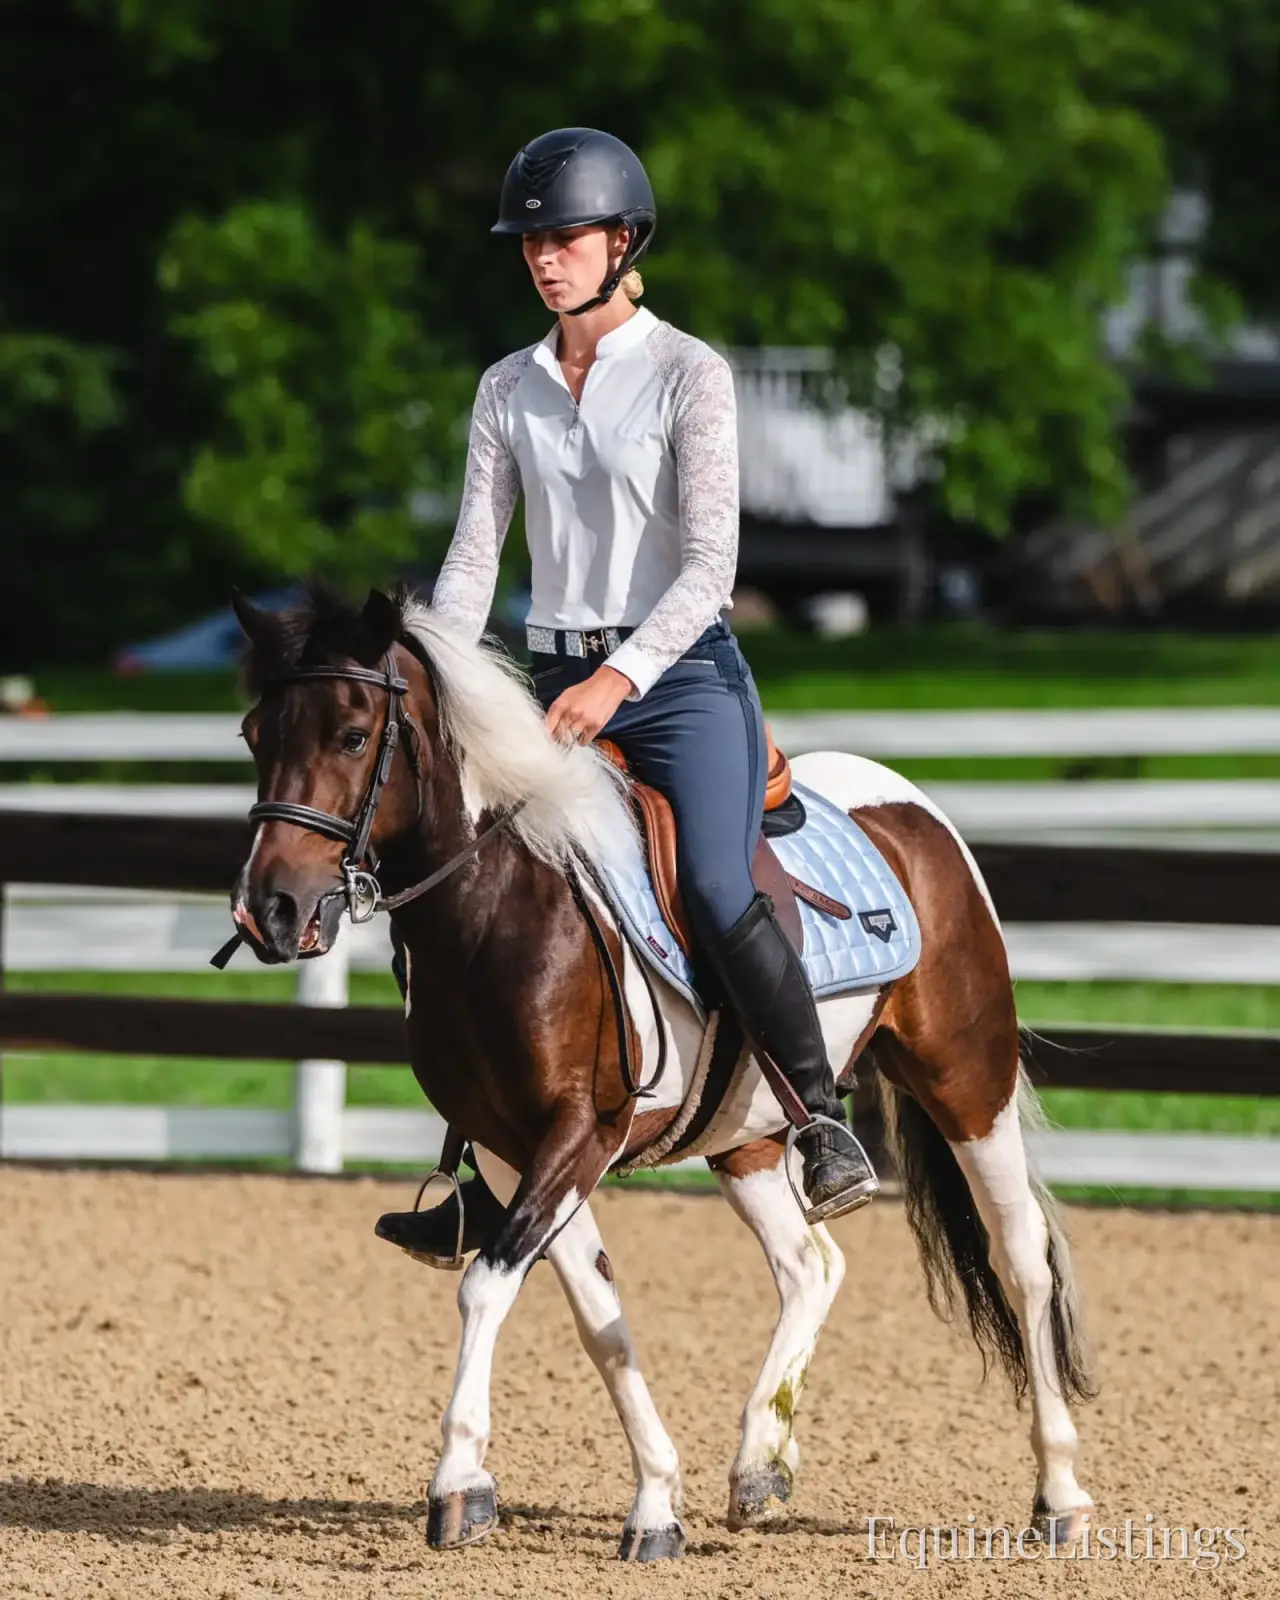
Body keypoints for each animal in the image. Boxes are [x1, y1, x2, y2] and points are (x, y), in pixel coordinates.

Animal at [226, 584, 1095, 1563]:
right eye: (254, 734)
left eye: (349, 734)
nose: (268, 909)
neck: (504, 909)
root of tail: (910, 808)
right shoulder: (509, 1152)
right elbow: (597, 1319)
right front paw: (653, 1501)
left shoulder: (581, 1133)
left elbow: (488, 1284)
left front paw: (455, 1481)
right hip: (748, 1133)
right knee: (810, 1265)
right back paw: (760, 1467)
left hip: (968, 1083)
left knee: (1021, 1260)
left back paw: (1059, 1494)